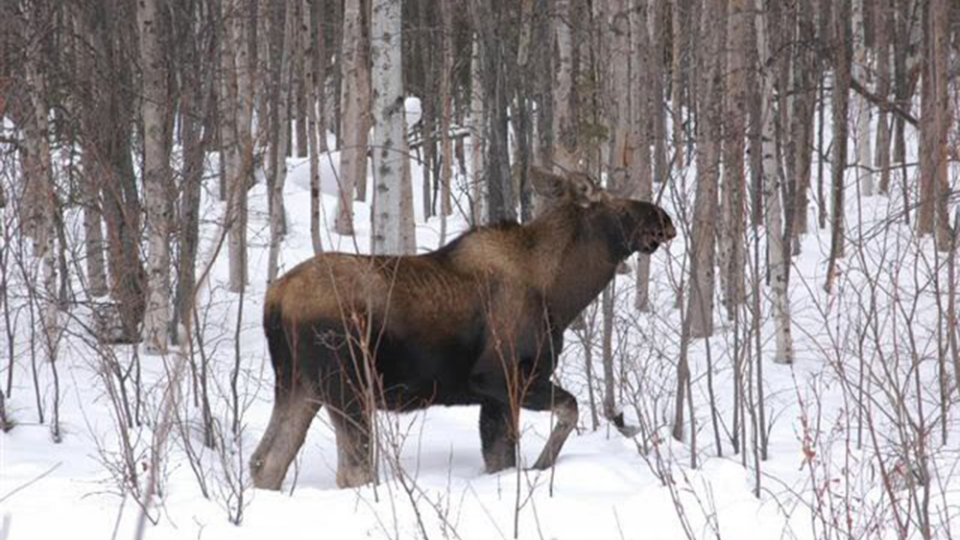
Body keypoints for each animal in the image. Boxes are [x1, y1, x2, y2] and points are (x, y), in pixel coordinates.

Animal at [251, 169, 680, 490]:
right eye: (616, 204)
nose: (665, 220)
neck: (561, 294)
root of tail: (275, 298)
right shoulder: (498, 376)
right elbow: (569, 409)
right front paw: (540, 467)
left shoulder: (493, 397)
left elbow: (500, 457)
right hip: (347, 385)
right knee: (352, 471)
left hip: (297, 383)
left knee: (265, 461)